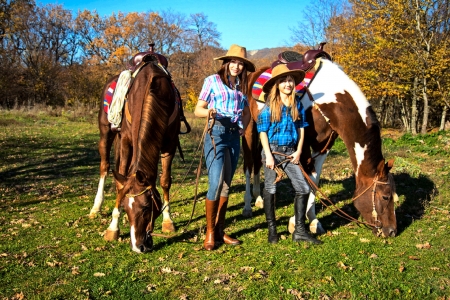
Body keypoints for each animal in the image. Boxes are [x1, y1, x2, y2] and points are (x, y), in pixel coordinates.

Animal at [89, 50, 182, 252]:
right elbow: (120, 181)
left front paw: (168, 220)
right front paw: (113, 227)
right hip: (106, 132)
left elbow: (165, 181)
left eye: (147, 207)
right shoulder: (125, 141)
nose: (139, 246)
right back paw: (96, 207)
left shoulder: (170, 144)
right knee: (105, 166)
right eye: (126, 205)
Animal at [243, 50, 398, 238]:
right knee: (248, 164)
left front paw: (313, 220)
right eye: (385, 196)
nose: (392, 231)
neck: (332, 101)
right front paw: (295, 222)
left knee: (259, 162)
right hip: (249, 130)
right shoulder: (302, 145)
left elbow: (314, 180)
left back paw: (259, 198)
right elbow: (305, 180)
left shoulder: (324, 146)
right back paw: (247, 206)